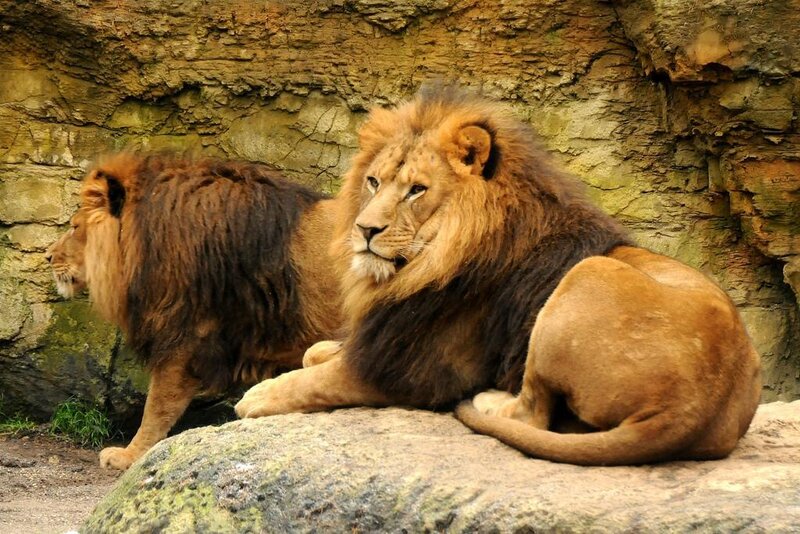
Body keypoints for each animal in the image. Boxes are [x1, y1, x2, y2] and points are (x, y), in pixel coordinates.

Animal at [234, 84, 762, 466]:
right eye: (373, 181)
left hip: (587, 275)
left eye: (416, 190)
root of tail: (692, 410)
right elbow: (315, 354)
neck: (424, 266)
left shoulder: (413, 371)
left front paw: (256, 397)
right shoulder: (385, 339)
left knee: (534, 412)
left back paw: (488, 400)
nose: (365, 229)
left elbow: (313, 381)